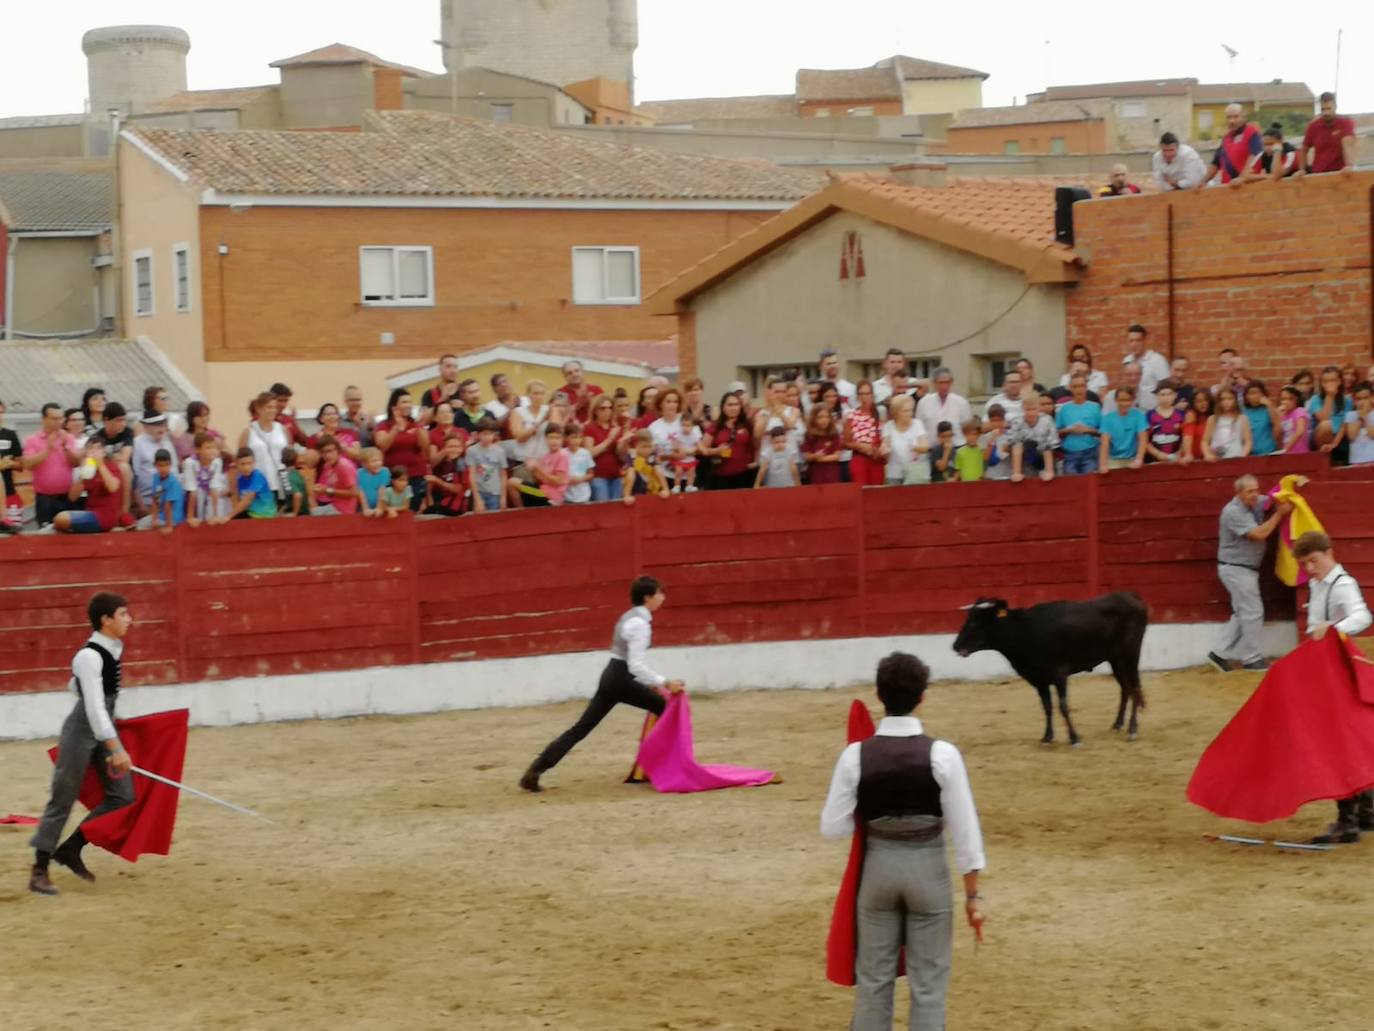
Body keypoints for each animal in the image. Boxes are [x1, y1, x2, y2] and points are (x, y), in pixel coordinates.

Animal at [956, 593, 1148, 747]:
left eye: (976, 623)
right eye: (968, 619)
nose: (956, 646)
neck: (1024, 631)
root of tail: (1132, 598)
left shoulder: (1059, 675)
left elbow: (1063, 706)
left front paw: (1074, 738)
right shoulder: (1039, 680)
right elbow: (1047, 707)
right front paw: (1047, 737)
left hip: (1130, 654)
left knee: (1134, 687)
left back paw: (1132, 729)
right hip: (1115, 659)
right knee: (1125, 688)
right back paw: (1117, 725)